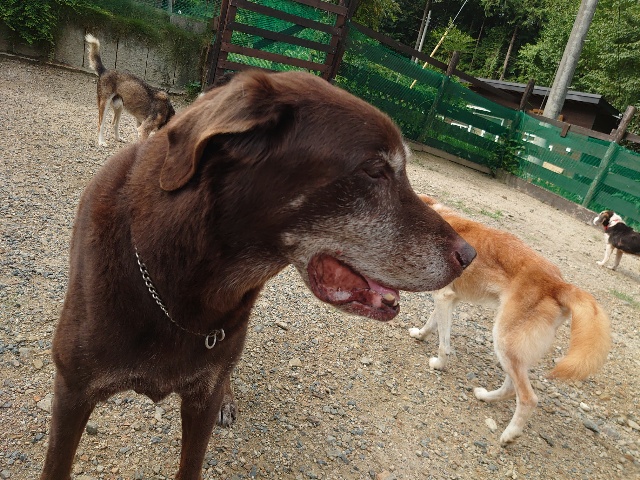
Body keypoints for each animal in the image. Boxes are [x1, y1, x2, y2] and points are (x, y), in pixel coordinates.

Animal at [408, 195, 610, 445]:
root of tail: (559, 284)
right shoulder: (448, 299)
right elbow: (431, 323)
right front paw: (419, 335)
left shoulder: (443, 296)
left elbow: (443, 344)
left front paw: (439, 364)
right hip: (512, 347)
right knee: (511, 387)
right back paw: (485, 396)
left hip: (503, 338)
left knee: (527, 397)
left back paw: (509, 434)